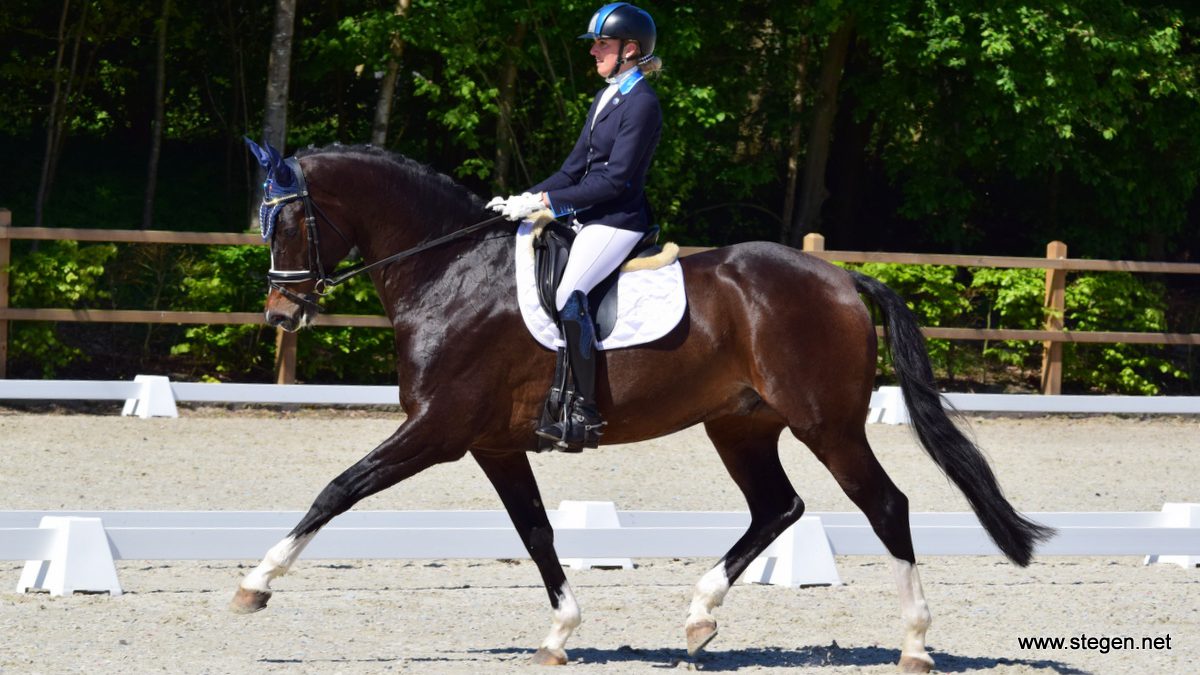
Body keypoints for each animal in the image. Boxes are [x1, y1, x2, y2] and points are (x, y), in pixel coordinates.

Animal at [226, 141, 1051, 667]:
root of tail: (845, 277)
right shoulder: (494, 442)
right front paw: (560, 633)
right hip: (741, 424)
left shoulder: (438, 428)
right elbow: (536, 531)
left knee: (885, 504)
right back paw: (699, 617)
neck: (450, 270)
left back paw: (914, 642)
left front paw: (254, 585)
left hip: (828, 423)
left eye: (288, 220)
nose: (280, 315)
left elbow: (338, 489)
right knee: (778, 506)